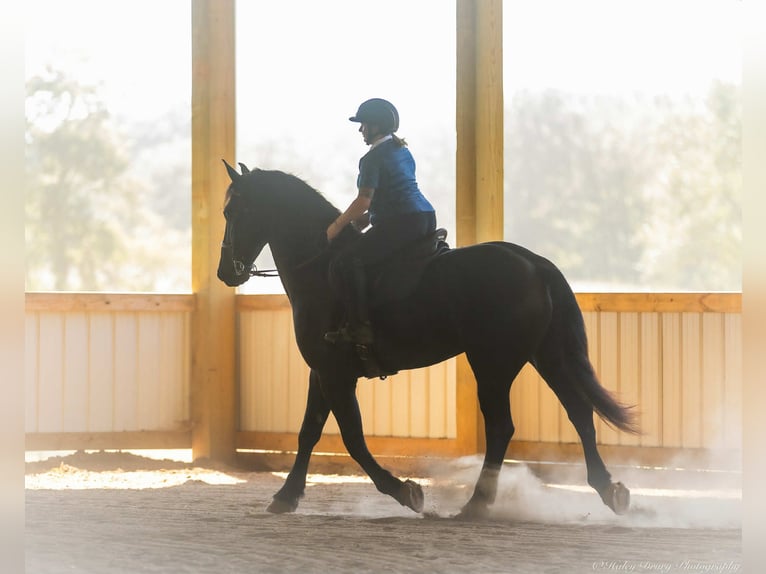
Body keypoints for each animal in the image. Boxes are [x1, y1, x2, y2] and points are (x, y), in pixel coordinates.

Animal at [216, 161, 638, 518]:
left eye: (234, 213)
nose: (225, 273)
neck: (320, 268)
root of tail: (534, 263)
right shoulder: (321, 371)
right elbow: (309, 432)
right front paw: (286, 495)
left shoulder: (335, 374)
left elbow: (352, 438)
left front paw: (405, 491)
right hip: (546, 355)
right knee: (579, 413)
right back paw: (609, 491)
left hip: (493, 364)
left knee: (502, 426)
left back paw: (477, 504)